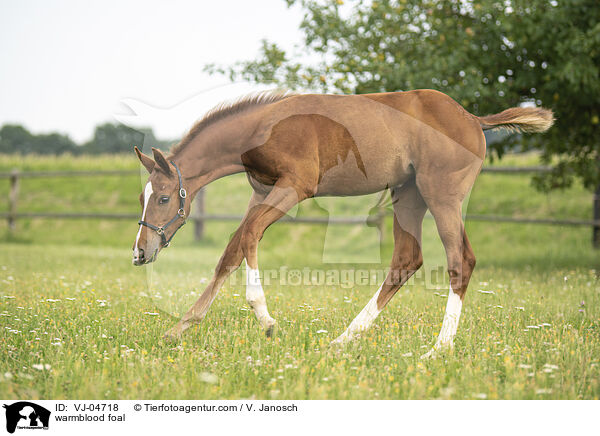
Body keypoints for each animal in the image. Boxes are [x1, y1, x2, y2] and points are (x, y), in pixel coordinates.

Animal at [132, 89, 552, 358]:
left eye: (165, 198)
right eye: (143, 197)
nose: (140, 252)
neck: (263, 127)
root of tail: (472, 118)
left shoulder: (295, 187)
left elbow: (249, 236)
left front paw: (264, 317)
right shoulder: (262, 192)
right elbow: (231, 252)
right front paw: (180, 328)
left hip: (441, 195)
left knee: (459, 260)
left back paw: (438, 349)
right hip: (408, 194)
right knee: (406, 260)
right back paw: (344, 339)